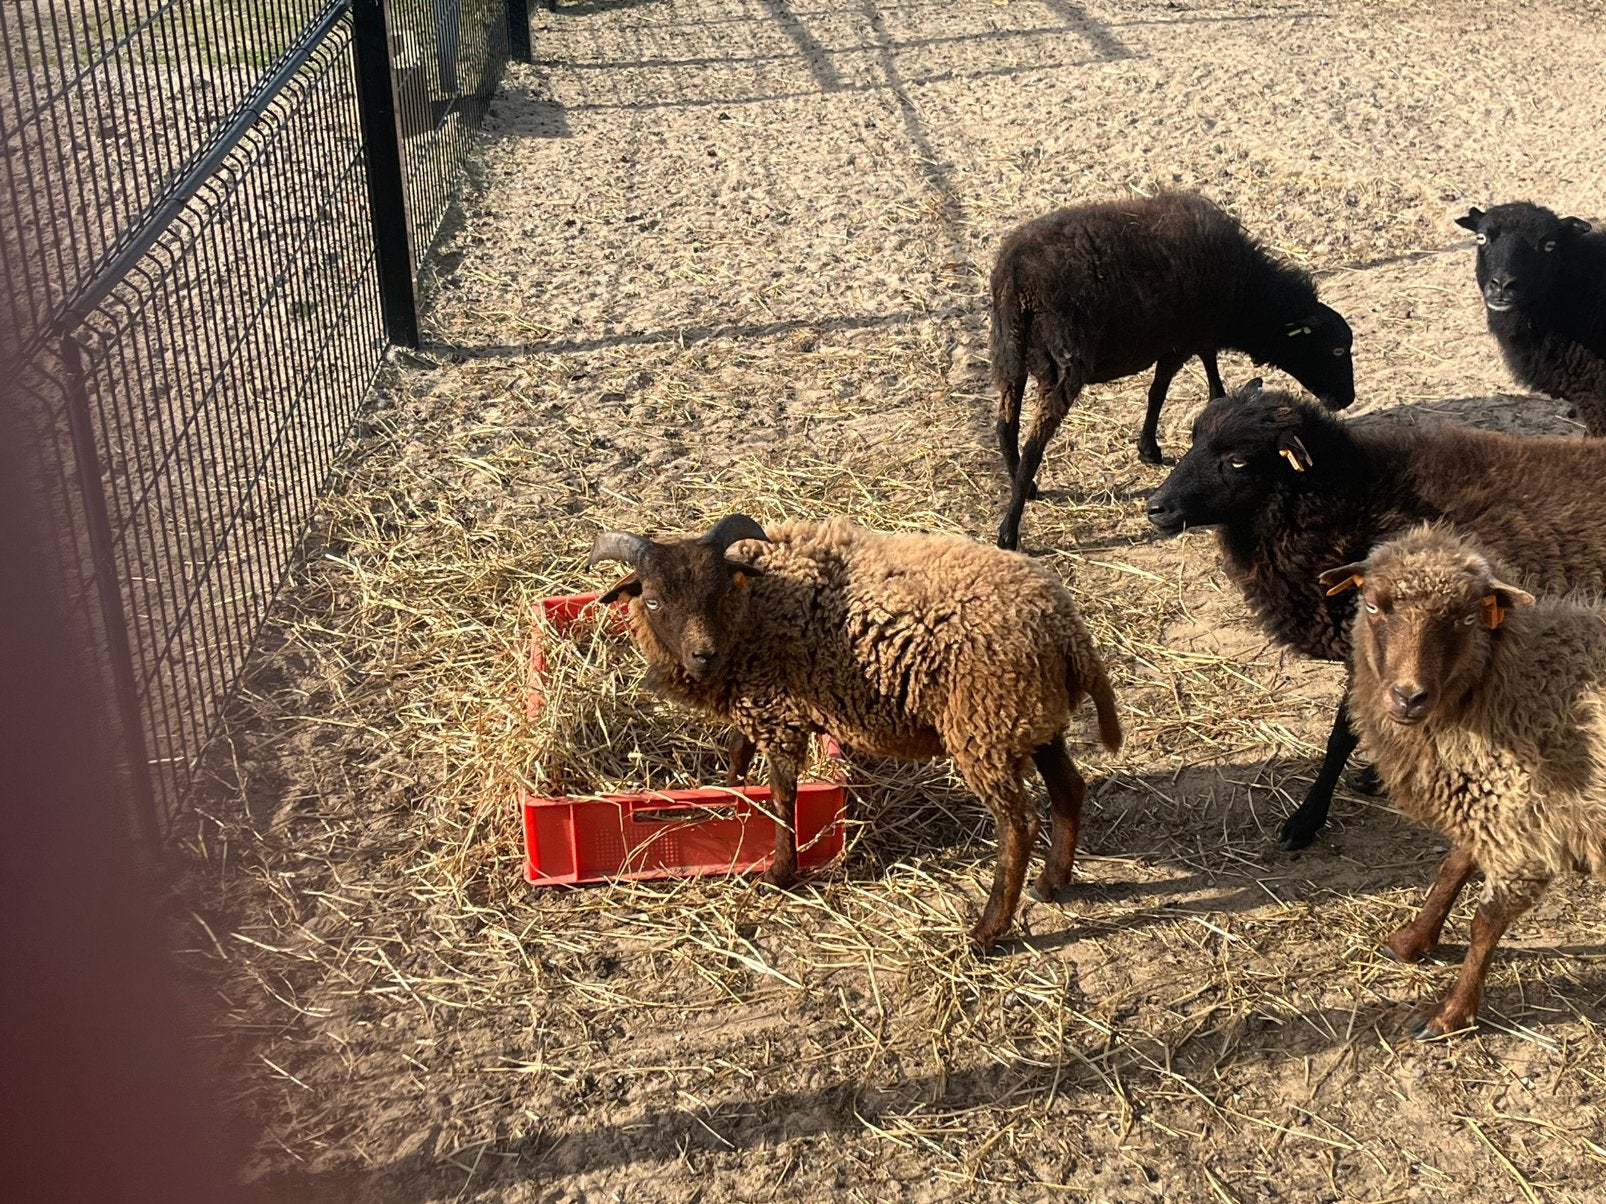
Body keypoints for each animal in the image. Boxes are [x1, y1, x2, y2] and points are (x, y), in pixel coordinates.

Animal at [587, 513, 1123, 949]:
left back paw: (986, 933)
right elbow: (738, 752)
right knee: (1069, 790)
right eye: (653, 601)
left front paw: (779, 872)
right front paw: (730, 793)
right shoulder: (755, 703)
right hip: (1030, 718)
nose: (704, 656)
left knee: (1019, 826)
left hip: (984, 727)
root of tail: (1066, 629)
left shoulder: (776, 713)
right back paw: (1051, 884)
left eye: (721, 591)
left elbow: (782, 795)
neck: (756, 607)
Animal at [990, 190, 1356, 550]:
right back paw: (1009, 531)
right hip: (1064, 362)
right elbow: (1160, 391)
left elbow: (1206, 369)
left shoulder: (1198, 334)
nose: (1347, 400)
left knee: (1005, 425)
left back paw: (1025, 486)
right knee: (1034, 444)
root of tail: (1018, 277)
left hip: (1010, 354)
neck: (1248, 297)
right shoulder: (1180, 342)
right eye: (1337, 350)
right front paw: (1150, 449)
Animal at [1145, 381, 1606, 850]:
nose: (1155, 508)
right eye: (1193, 440)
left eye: (1238, 459)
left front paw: (1305, 819)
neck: (1354, 503)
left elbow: (1343, 734)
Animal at [1321, 524, 1606, 1038]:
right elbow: (1452, 867)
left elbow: (1484, 924)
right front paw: (1412, 940)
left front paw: (1451, 1013)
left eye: (1468, 617)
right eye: (1373, 605)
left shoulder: (1522, 829)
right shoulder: (1495, 803)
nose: (1408, 697)